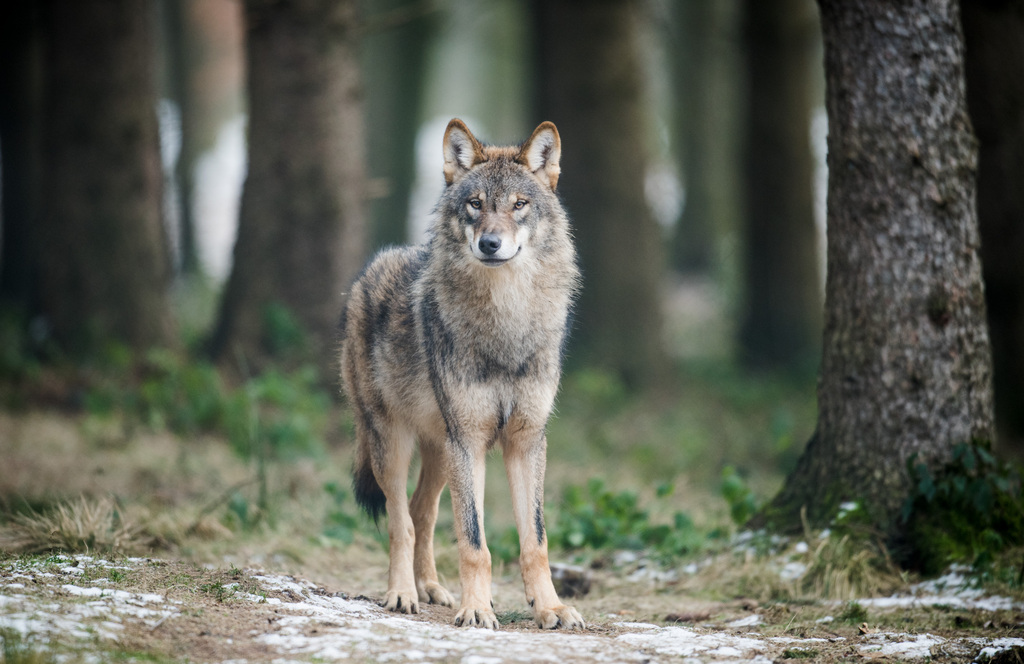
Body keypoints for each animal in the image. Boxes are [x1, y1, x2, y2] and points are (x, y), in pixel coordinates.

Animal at [342, 116, 585, 631]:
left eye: (518, 205)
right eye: (476, 204)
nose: (490, 243)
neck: (506, 322)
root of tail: (367, 271)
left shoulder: (526, 441)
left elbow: (535, 541)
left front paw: (550, 608)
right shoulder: (469, 441)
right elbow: (475, 542)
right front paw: (478, 609)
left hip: (440, 452)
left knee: (423, 513)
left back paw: (431, 588)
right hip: (395, 443)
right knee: (401, 520)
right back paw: (402, 593)